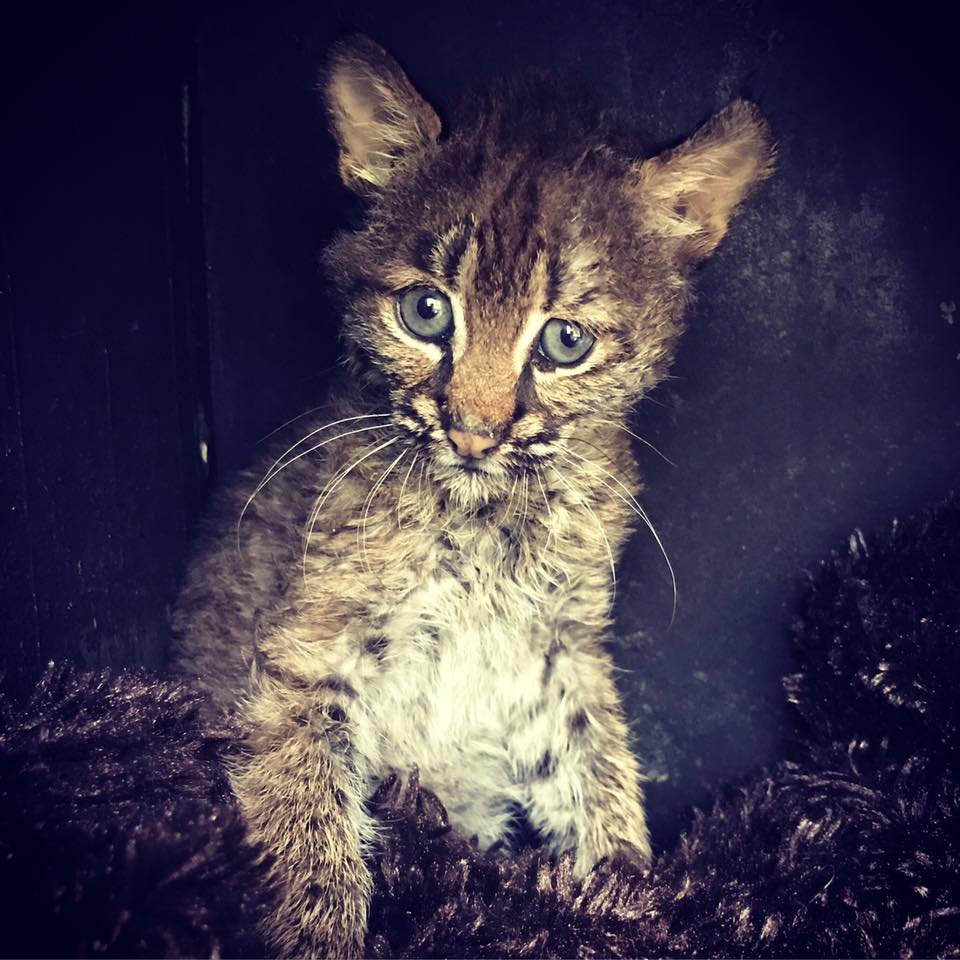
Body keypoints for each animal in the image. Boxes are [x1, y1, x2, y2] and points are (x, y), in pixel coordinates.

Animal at [171, 33, 772, 956]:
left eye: (565, 341)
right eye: (425, 313)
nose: (473, 431)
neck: (490, 512)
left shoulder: (563, 647)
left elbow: (597, 762)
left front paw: (629, 894)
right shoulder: (303, 655)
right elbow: (307, 815)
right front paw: (321, 933)